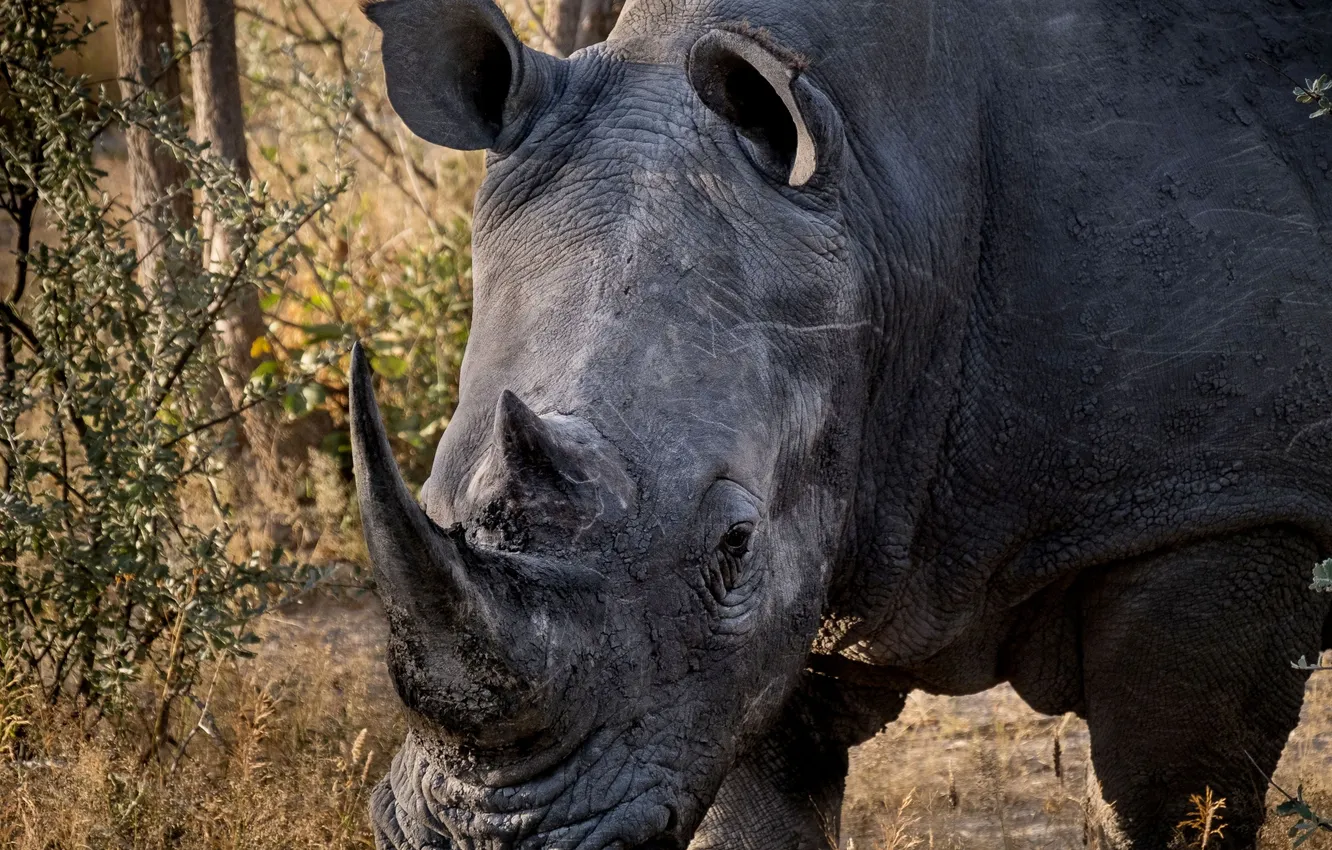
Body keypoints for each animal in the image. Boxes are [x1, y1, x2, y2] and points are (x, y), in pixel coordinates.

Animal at [347, 0, 1332, 846]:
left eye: (734, 546)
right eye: (435, 496)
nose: (481, 834)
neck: (880, 203)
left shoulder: (1217, 500)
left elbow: (1167, 802)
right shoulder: (767, 610)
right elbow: (754, 805)